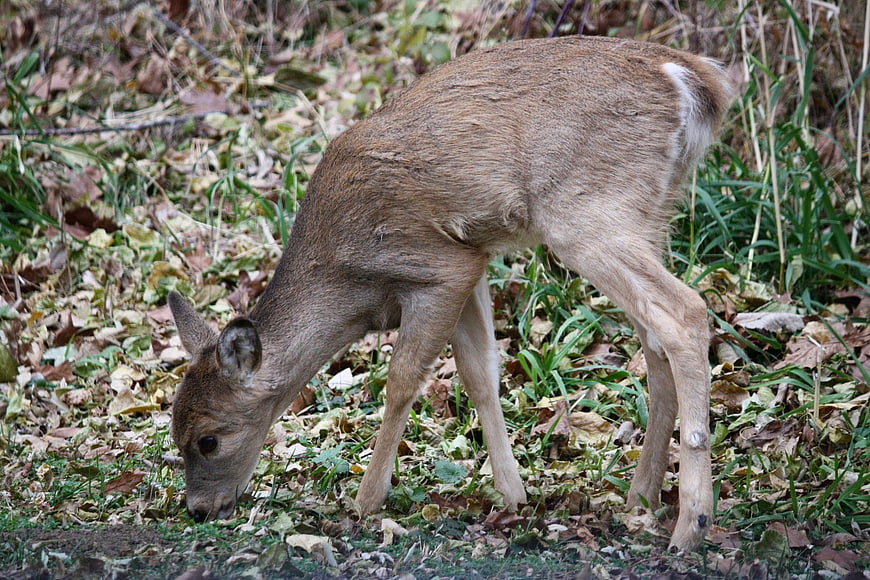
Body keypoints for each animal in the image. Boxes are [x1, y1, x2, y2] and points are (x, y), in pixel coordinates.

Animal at [167, 35, 732, 551]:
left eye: (208, 439)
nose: (199, 510)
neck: (344, 277)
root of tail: (688, 76)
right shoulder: (470, 262)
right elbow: (480, 373)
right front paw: (512, 494)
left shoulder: (436, 264)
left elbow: (401, 380)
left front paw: (367, 500)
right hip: (646, 216)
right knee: (654, 339)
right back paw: (642, 496)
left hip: (588, 214)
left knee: (684, 312)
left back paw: (692, 524)